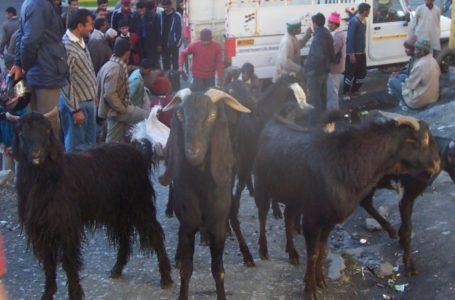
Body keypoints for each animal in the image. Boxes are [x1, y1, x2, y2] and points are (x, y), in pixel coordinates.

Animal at [12, 112, 173, 300]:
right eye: (21, 132)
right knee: (124, 237)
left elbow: (69, 261)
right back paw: (117, 269)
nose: (37, 152)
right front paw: (48, 293)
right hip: (117, 210)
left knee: (155, 234)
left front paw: (75, 293)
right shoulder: (41, 230)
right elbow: (48, 262)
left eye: (46, 130)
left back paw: (166, 278)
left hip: (140, 204)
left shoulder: (66, 226)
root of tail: (139, 154)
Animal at [164, 88, 255, 298]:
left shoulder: (217, 225)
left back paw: (247, 254)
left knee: (233, 218)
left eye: (212, 115)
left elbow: (218, 270)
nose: (193, 153)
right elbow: (186, 270)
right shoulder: (187, 224)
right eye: (181, 115)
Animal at [255, 111, 440, 298]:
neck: (346, 162)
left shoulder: (329, 220)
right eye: (424, 141)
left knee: (288, 217)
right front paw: (310, 288)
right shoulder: (312, 218)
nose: (436, 165)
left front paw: (320, 280)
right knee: (262, 214)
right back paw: (263, 251)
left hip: (293, 200)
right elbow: (313, 253)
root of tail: (272, 121)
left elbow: (322, 249)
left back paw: (292, 253)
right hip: (261, 185)